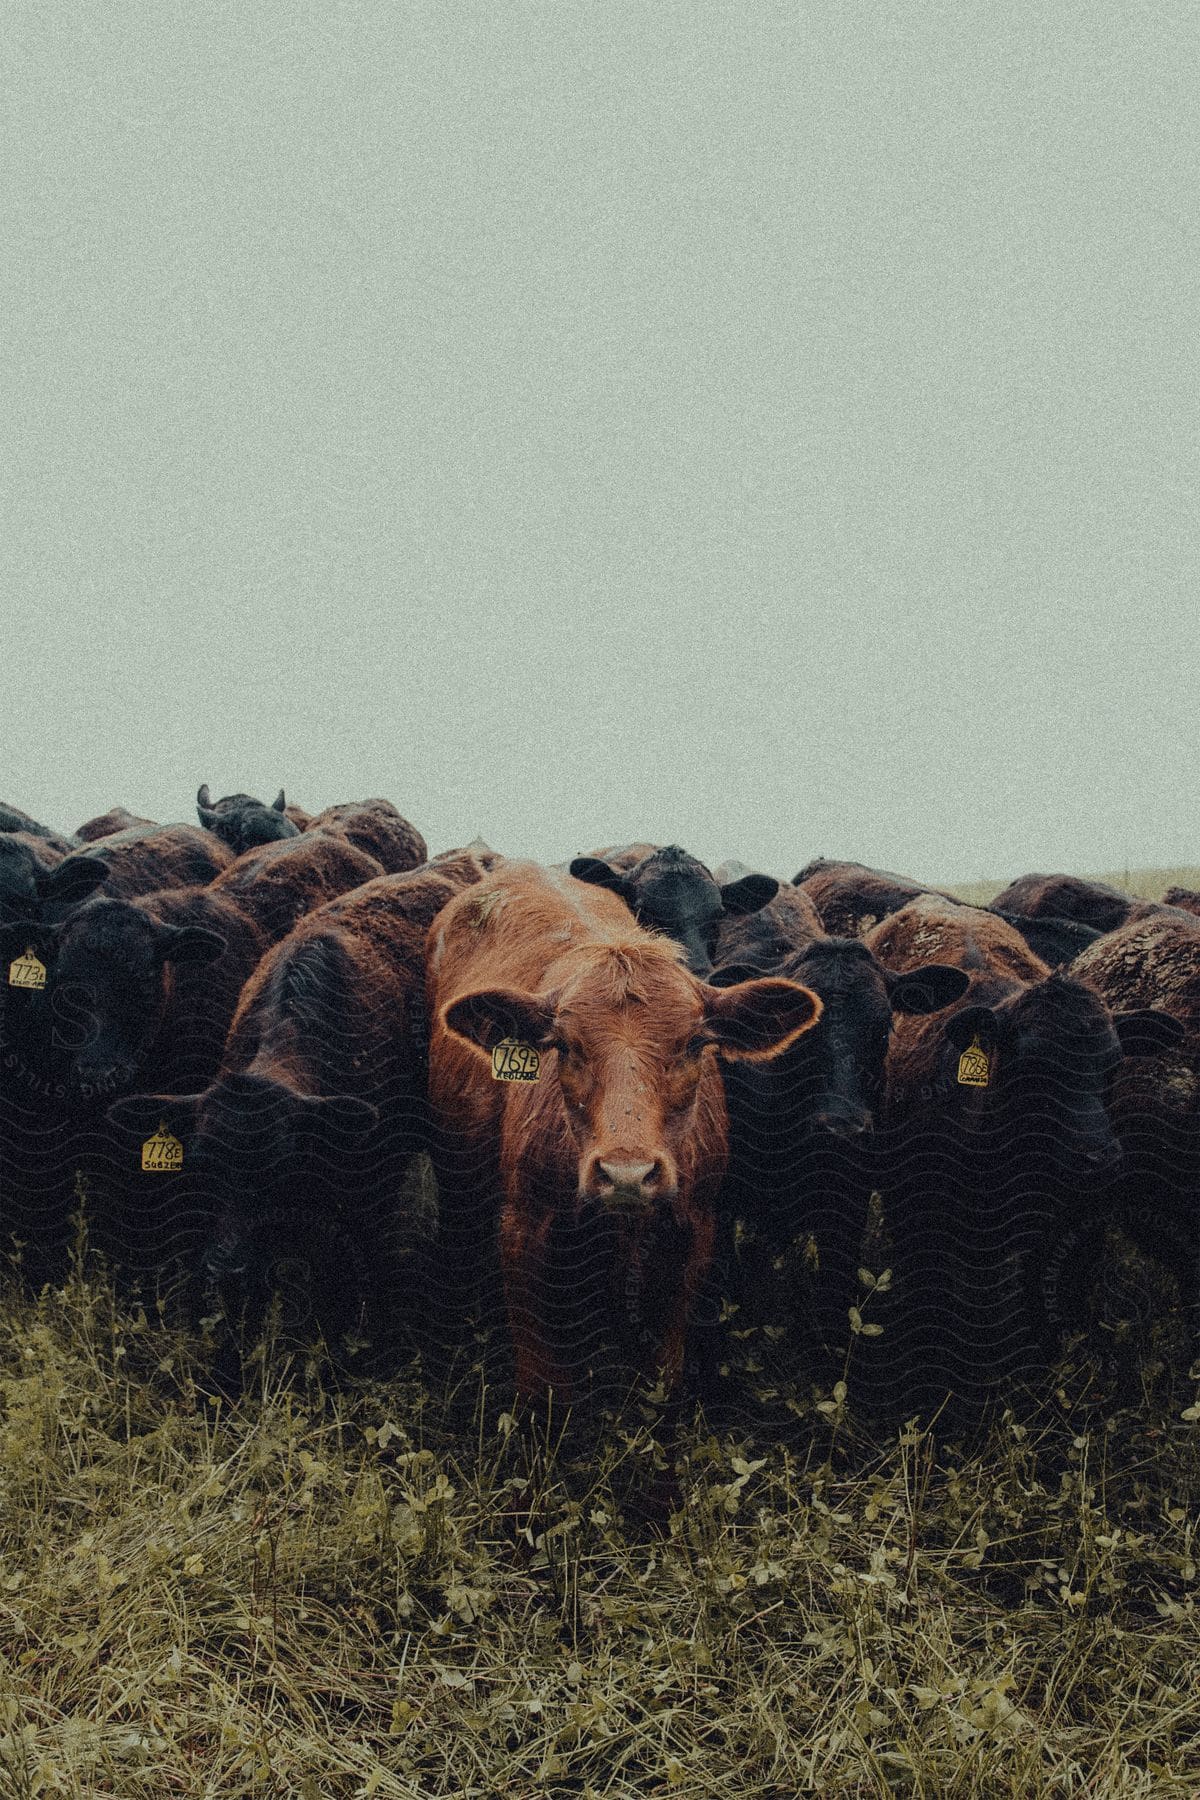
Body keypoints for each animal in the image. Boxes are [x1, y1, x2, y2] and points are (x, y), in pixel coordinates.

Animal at [426, 860, 820, 1404]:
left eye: (695, 1043)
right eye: (565, 1045)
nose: (627, 1174)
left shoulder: (693, 1235)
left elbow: (665, 1376)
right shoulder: (523, 1234)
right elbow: (542, 1388)